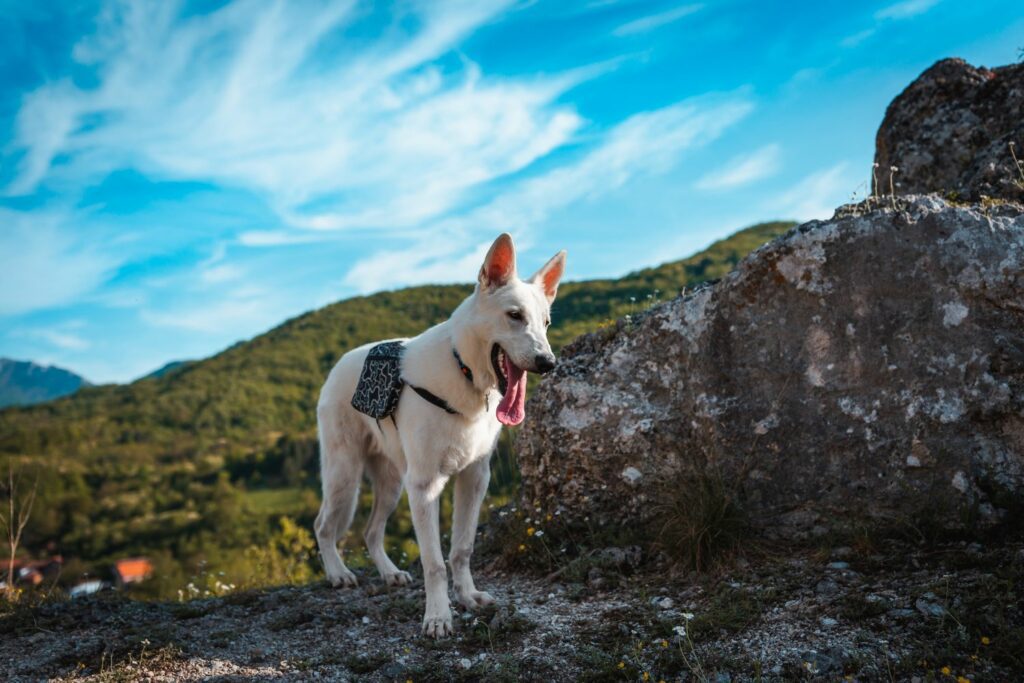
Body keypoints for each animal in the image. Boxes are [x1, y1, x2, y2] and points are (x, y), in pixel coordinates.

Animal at [313, 232, 565, 638]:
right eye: (514, 316)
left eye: (545, 323)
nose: (548, 363)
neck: (464, 371)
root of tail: (342, 360)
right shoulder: (425, 487)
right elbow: (433, 563)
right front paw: (438, 616)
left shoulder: (474, 479)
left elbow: (460, 550)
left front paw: (468, 596)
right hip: (345, 477)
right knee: (323, 526)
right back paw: (338, 573)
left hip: (391, 484)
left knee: (370, 532)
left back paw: (389, 573)